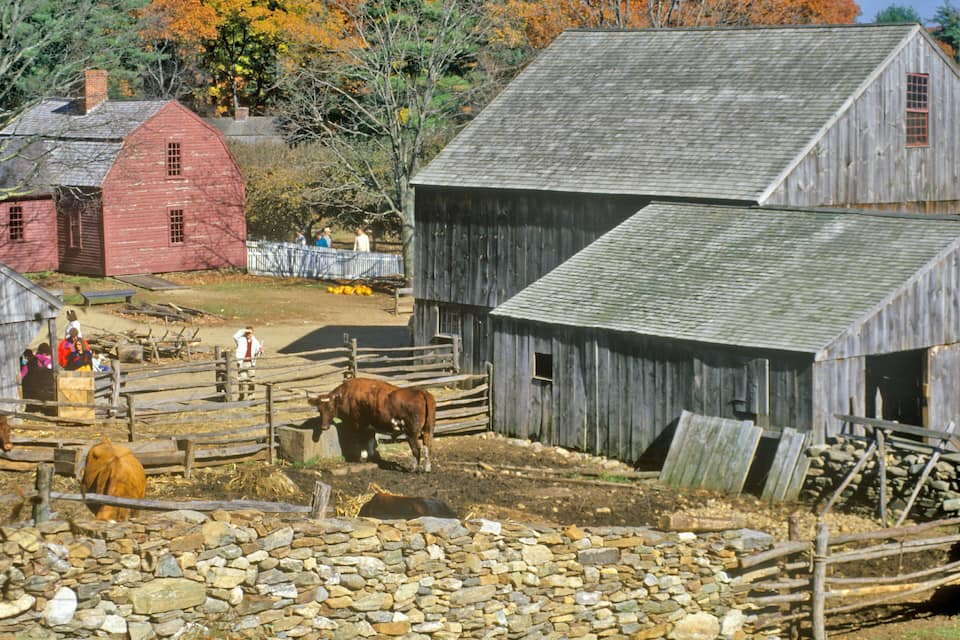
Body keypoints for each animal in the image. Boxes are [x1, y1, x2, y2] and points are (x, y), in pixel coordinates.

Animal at [308, 377, 437, 472]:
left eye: (330, 408)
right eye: (319, 409)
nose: (324, 427)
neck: (348, 394)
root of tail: (421, 391)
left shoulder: (357, 425)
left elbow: (361, 441)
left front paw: (362, 458)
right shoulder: (369, 426)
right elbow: (370, 441)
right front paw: (371, 457)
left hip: (411, 432)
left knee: (416, 449)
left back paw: (415, 469)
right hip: (428, 430)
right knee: (427, 446)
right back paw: (427, 468)